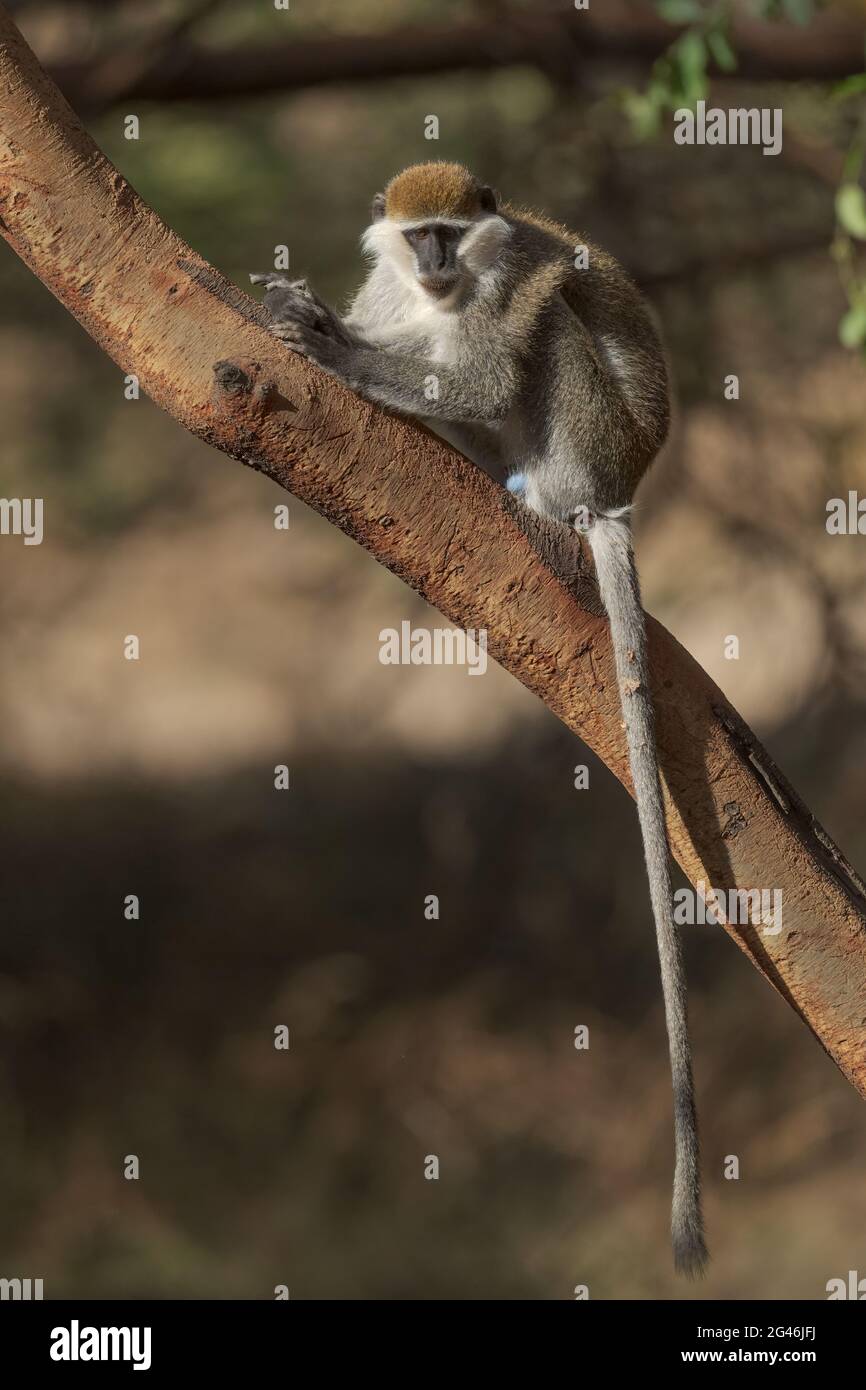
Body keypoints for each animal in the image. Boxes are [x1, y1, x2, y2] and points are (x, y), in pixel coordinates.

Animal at [251, 161, 707, 1277]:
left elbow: (501, 366)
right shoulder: (397, 293)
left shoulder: (511, 283)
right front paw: (320, 318)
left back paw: (553, 500)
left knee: (554, 335)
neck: (448, 294)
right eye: (417, 235)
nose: (433, 264)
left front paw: (332, 346)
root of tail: (619, 490)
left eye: (451, 234)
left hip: (591, 444)